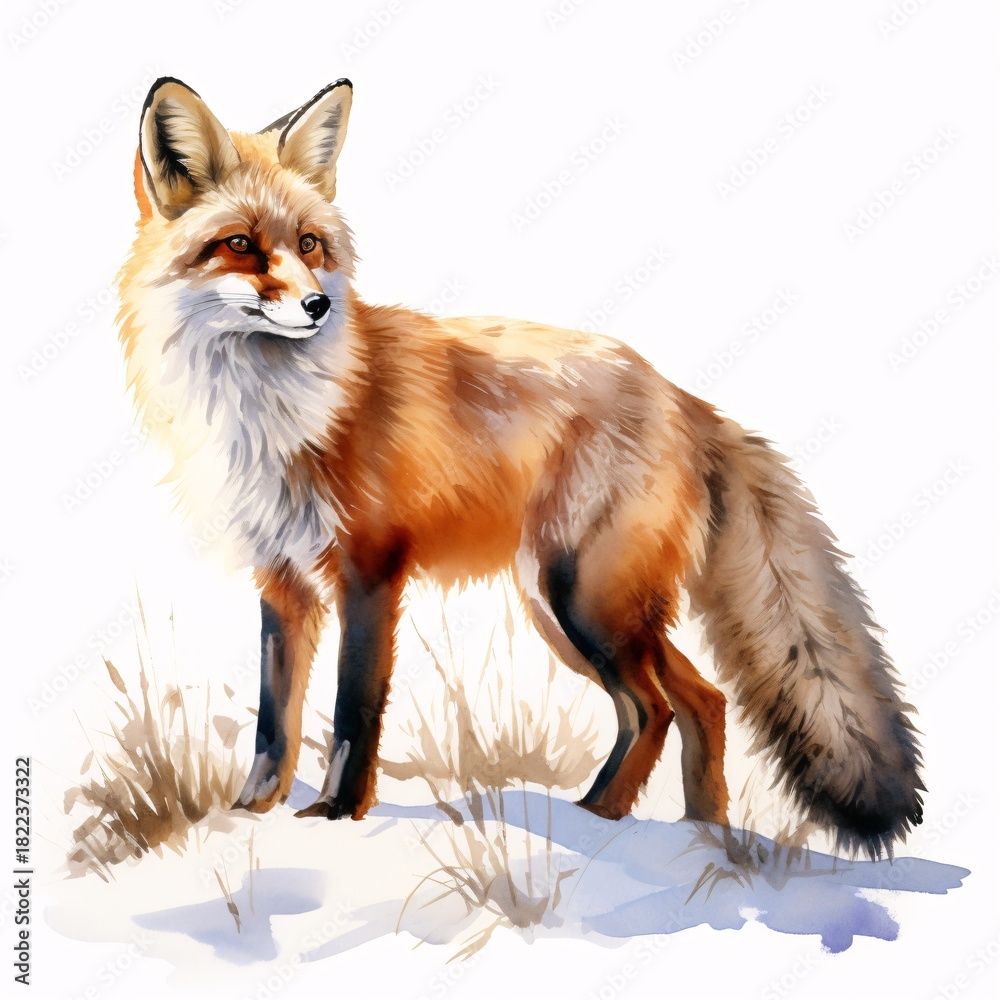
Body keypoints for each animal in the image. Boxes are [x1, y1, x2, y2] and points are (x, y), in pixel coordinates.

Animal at [117, 76, 923, 859]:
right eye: (240, 245)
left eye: (310, 243)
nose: (317, 305)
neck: (273, 410)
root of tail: (681, 395)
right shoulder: (284, 580)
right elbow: (273, 723)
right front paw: (251, 814)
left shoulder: (371, 568)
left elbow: (352, 712)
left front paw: (337, 817)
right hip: (574, 606)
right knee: (700, 700)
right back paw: (699, 835)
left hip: (583, 599)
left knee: (657, 706)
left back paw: (605, 826)